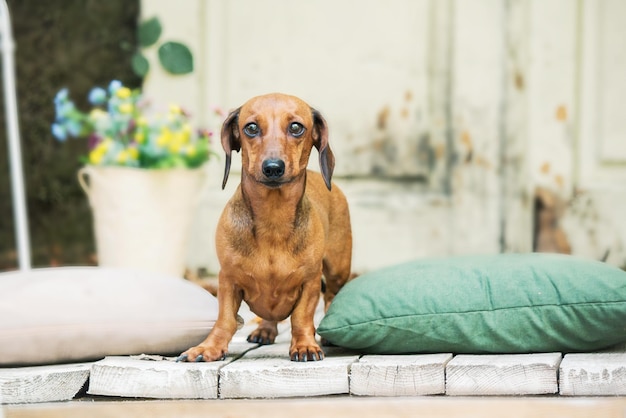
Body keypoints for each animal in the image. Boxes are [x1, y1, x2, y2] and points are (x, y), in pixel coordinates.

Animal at [177, 93, 352, 360]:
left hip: (337, 270)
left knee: (332, 296)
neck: (273, 220)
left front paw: (305, 345)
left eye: (296, 127)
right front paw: (208, 348)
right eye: (251, 127)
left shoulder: (310, 281)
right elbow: (225, 320)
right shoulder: (227, 280)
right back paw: (265, 331)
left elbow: (301, 317)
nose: (273, 168)